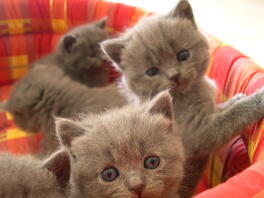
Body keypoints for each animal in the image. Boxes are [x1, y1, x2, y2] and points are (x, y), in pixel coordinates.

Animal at [100, 0, 264, 197]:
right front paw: (258, 98)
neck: (190, 92)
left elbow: (221, 109)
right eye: (152, 72)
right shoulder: (199, 132)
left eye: (183, 55)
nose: (174, 76)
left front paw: (236, 99)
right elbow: (231, 116)